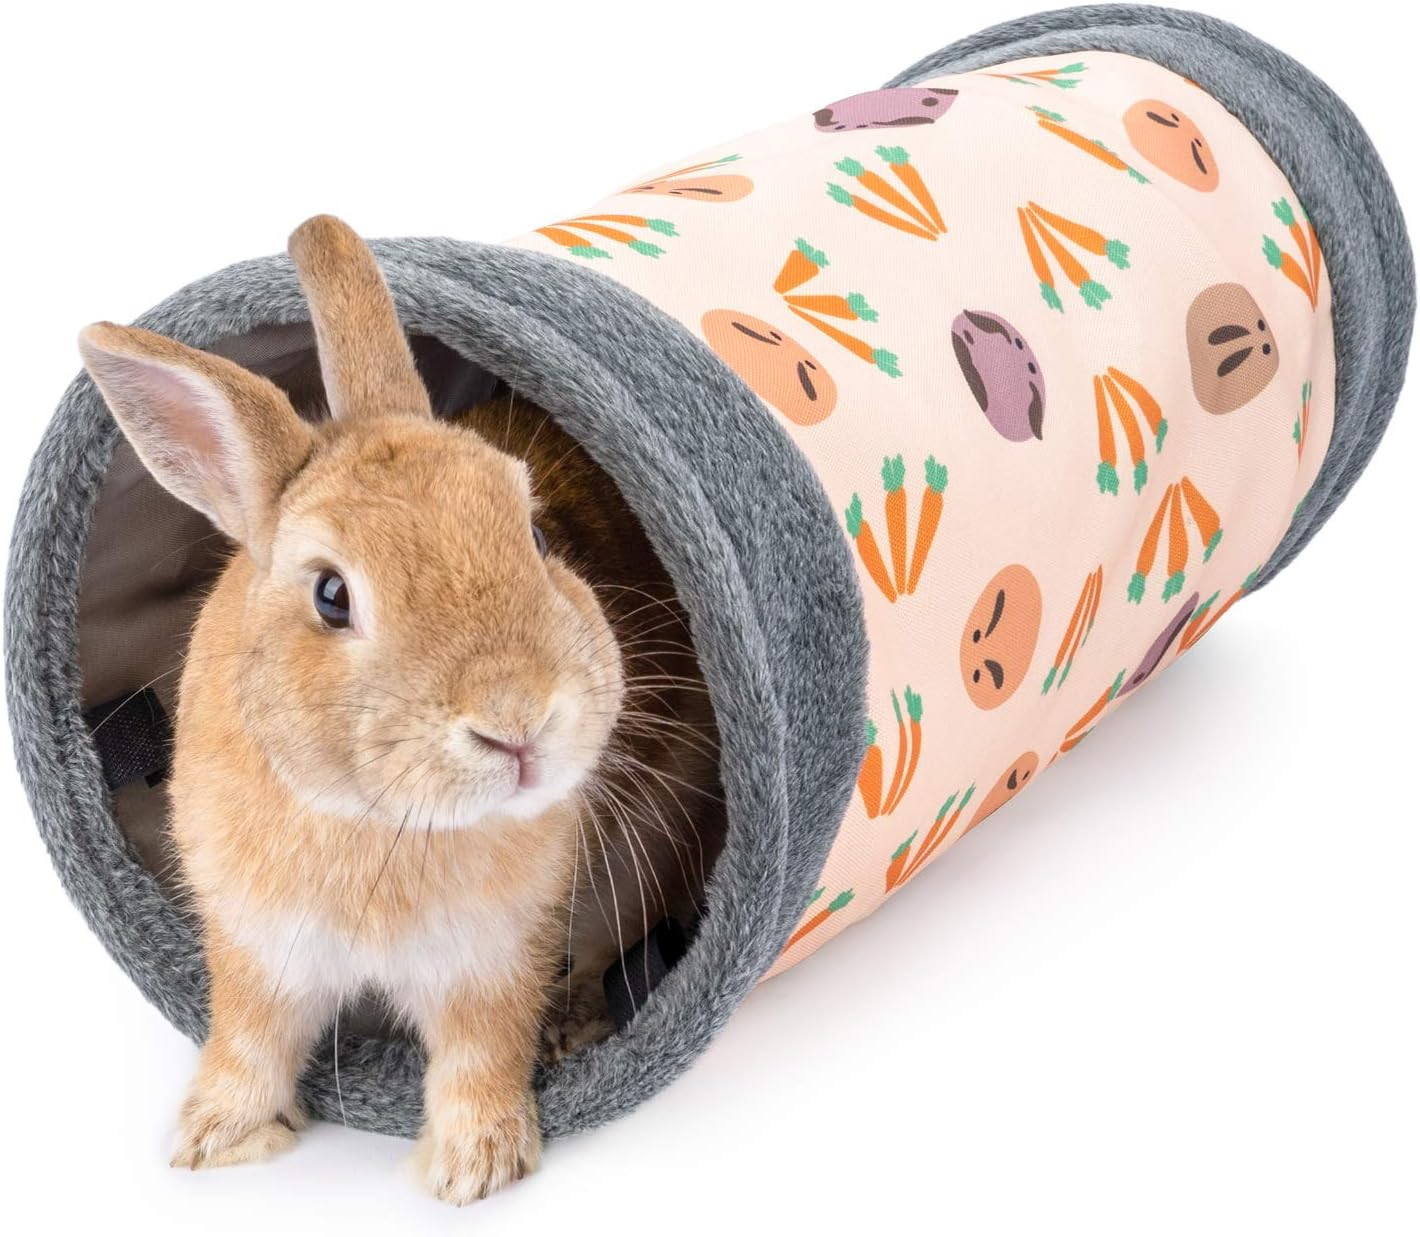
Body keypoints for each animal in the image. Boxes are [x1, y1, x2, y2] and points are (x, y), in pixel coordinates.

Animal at [77, 214, 720, 1204]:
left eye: (537, 535)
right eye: (332, 595)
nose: (517, 718)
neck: (377, 820)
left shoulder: (495, 955)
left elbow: (481, 1052)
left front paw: (474, 1167)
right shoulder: (256, 947)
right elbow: (249, 1039)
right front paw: (214, 1140)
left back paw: (575, 1026)